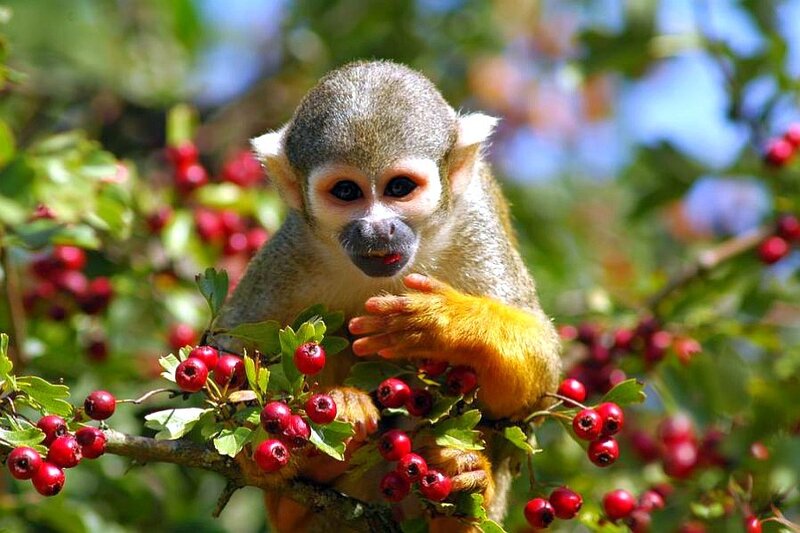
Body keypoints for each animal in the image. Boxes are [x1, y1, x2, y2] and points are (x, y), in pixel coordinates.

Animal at [210, 60, 561, 532]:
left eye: (398, 188)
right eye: (346, 192)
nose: (377, 229)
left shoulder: (473, 225)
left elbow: (538, 382)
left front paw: (442, 321)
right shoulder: (294, 249)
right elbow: (229, 350)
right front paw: (266, 441)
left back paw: (465, 490)